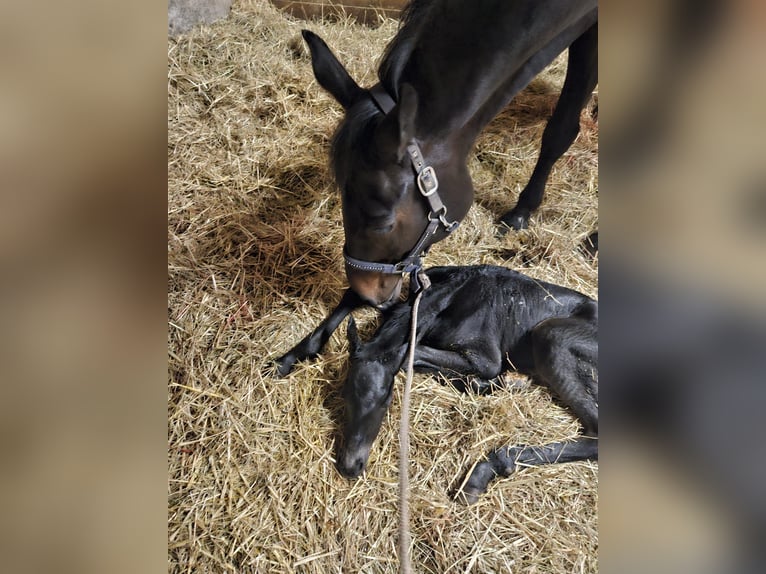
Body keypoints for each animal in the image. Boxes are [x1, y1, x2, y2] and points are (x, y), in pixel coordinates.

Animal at [338, 266, 600, 504]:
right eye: (345, 395)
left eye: (387, 400)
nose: (350, 466)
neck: (453, 296)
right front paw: (504, 383)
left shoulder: (486, 359)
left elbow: (412, 356)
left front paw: (502, 383)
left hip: (553, 335)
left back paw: (483, 472)